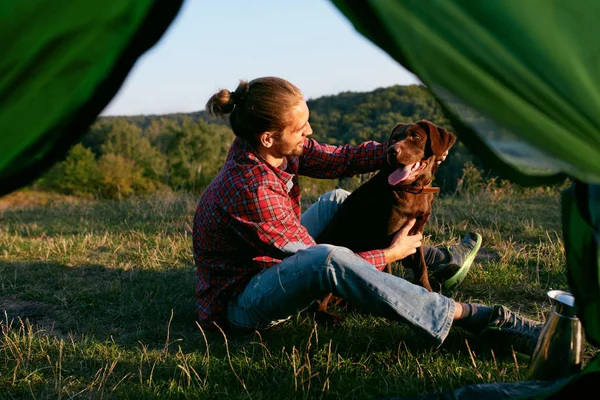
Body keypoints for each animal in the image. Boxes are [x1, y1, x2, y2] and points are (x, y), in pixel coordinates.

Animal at [312, 121, 458, 324]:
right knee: (317, 305)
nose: (391, 151)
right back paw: (332, 318)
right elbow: (388, 272)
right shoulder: (387, 238)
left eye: (415, 136)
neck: (413, 189)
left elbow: (421, 268)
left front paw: (429, 292)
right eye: (394, 138)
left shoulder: (416, 234)